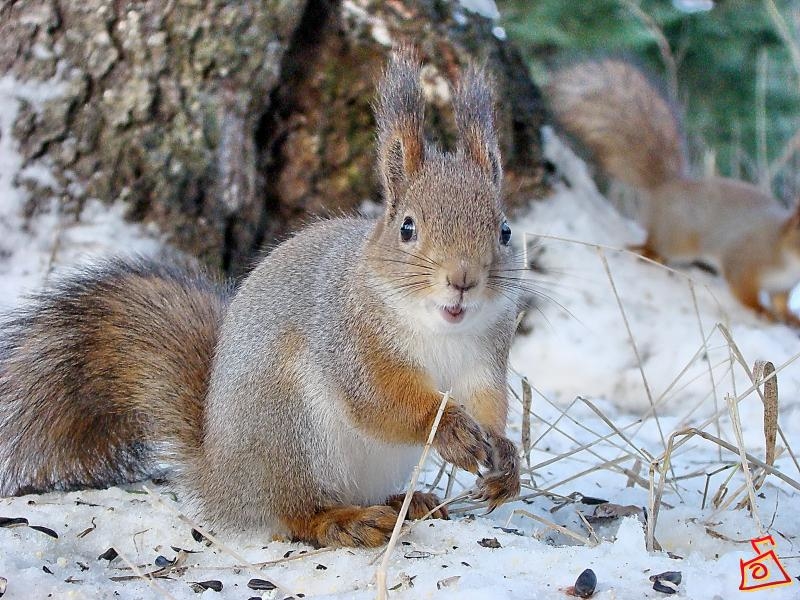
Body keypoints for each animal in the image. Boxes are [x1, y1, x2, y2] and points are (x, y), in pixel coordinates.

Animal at [0, 48, 520, 548]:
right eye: (407, 228)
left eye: (505, 230)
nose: (463, 278)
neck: (440, 330)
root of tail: (222, 480)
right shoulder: (348, 341)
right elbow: (380, 401)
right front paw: (449, 427)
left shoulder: (485, 356)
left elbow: (489, 403)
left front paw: (505, 458)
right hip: (292, 432)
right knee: (297, 512)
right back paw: (346, 522)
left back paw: (411, 503)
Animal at [548, 57, 800, 324]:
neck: (780, 247)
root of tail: (667, 186)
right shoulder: (745, 262)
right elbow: (744, 291)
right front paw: (761, 311)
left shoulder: (784, 286)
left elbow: (781, 301)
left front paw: (790, 317)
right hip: (677, 238)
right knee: (654, 242)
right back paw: (649, 252)